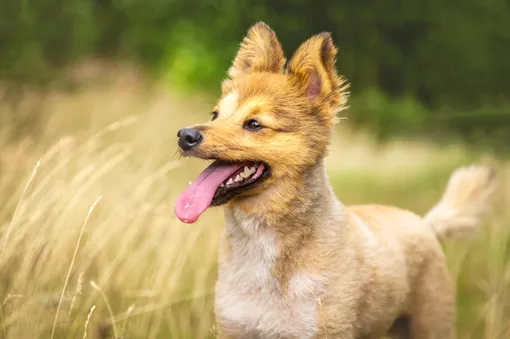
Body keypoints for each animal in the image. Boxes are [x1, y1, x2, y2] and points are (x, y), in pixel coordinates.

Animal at [175, 21, 498, 339]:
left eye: (254, 124)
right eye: (215, 115)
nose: (184, 136)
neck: (264, 247)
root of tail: (424, 223)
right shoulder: (234, 327)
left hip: (431, 323)